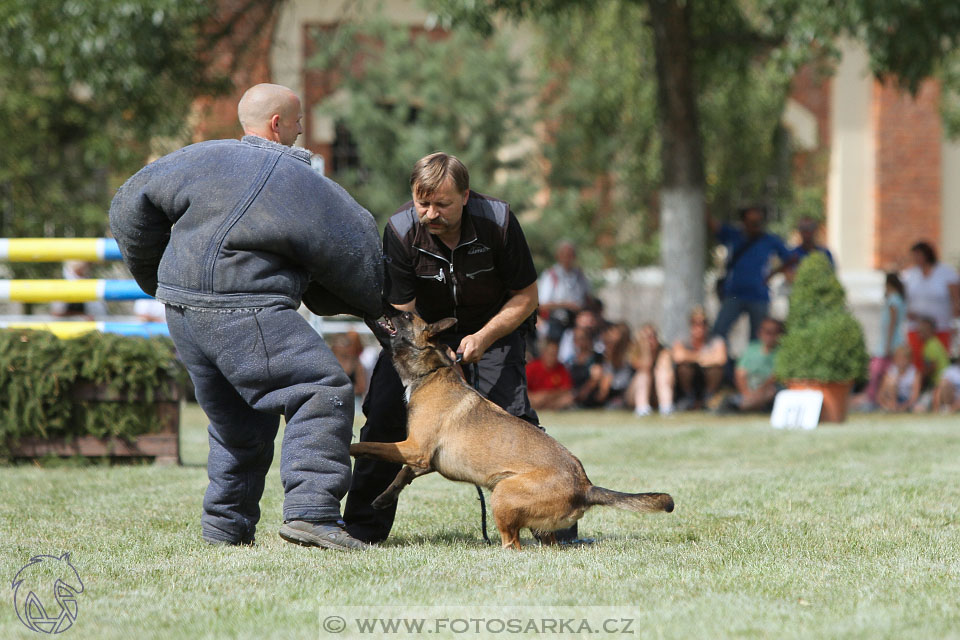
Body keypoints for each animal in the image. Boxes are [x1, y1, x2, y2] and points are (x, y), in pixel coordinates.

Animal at [352, 312, 676, 552]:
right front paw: (383, 498)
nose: (383, 306)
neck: (431, 373)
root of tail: (585, 486)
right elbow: (402, 474)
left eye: (406, 316)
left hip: (503, 493)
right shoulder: (423, 459)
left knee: (513, 544)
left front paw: (350, 447)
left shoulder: (414, 448)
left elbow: (372, 447)